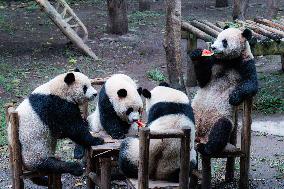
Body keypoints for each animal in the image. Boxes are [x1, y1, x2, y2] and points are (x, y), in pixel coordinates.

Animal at [190, 27, 258, 157]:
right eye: (216, 38)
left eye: (224, 41)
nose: (213, 48)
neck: (229, 60)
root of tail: (200, 136)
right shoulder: (213, 61)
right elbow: (203, 80)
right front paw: (196, 55)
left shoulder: (245, 62)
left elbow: (251, 82)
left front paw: (234, 97)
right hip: (193, 112)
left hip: (219, 118)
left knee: (221, 129)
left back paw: (205, 148)